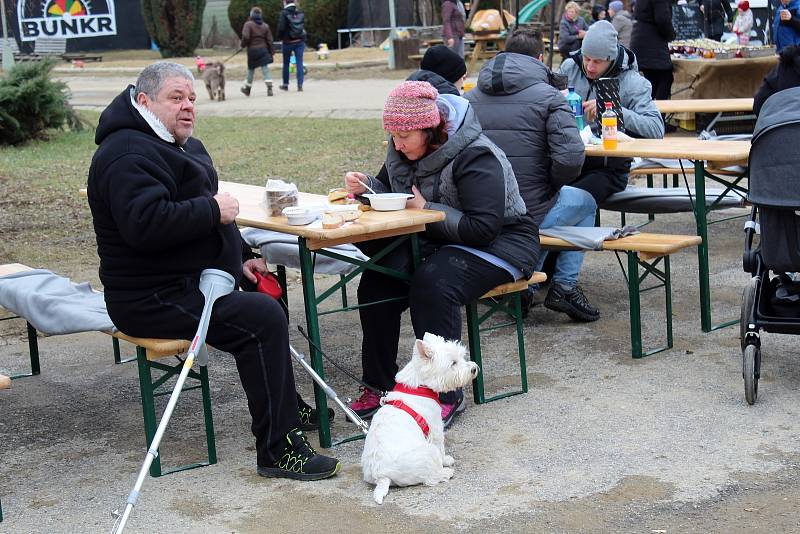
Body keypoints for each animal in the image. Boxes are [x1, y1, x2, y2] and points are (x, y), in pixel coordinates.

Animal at [364, 336, 482, 506]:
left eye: (461, 357)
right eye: (453, 363)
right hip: (428, 452)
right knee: (430, 478)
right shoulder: (436, 428)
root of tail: (381, 476)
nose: (474, 369)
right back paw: (445, 472)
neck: (419, 386)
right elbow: (441, 448)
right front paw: (446, 460)